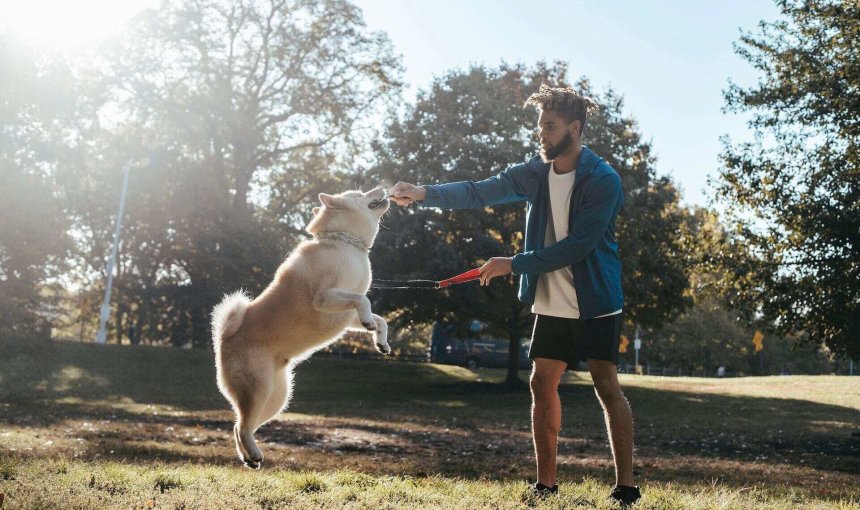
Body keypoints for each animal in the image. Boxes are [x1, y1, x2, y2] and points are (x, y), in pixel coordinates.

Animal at [212, 186, 394, 466]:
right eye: (359, 193)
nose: (381, 188)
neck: (346, 243)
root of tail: (225, 338)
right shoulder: (326, 298)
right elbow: (364, 300)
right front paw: (370, 323)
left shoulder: (345, 315)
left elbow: (379, 317)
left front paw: (380, 339)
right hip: (259, 388)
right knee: (242, 426)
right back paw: (253, 453)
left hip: (278, 397)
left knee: (239, 426)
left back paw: (249, 456)